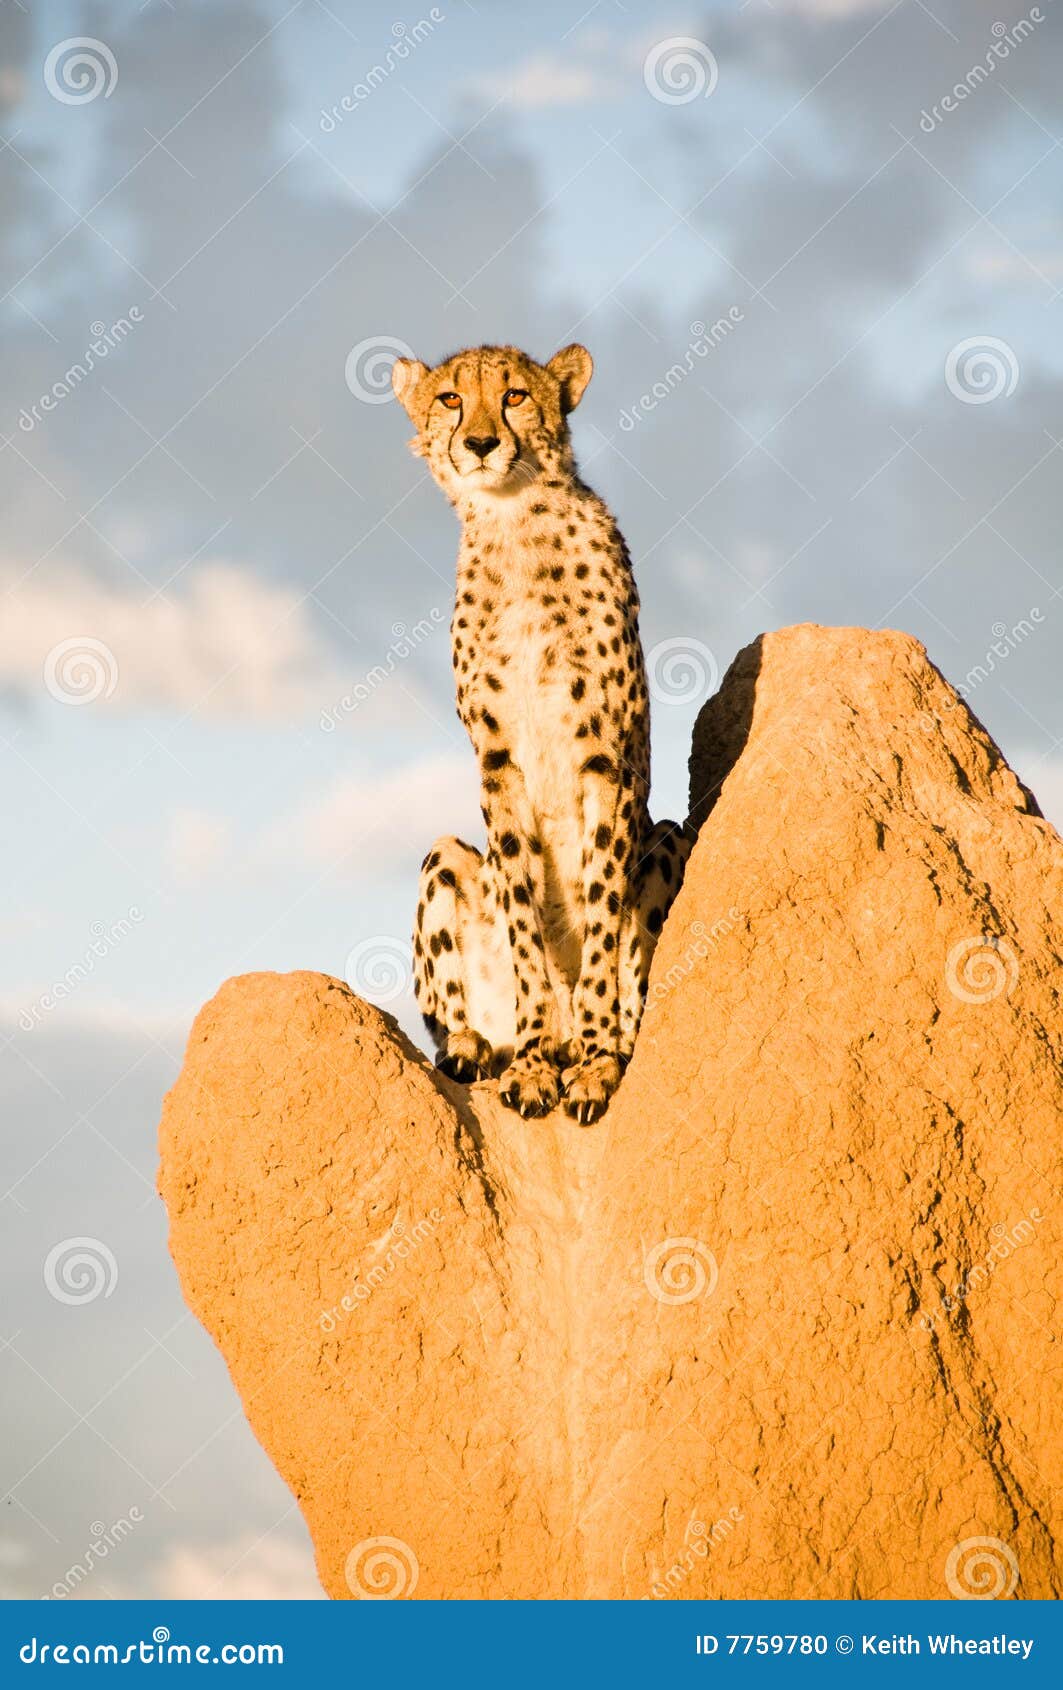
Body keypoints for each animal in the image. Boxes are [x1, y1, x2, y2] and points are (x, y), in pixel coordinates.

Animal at [390, 343, 689, 1122]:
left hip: (667, 836)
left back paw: (599, 1041)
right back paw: (480, 1047)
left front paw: (594, 1061)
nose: (479, 443)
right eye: (450, 399)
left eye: (516, 396)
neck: (514, 521)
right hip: (445, 859)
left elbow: (601, 913)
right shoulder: (498, 765)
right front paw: (531, 1062)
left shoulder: (604, 760)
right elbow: (525, 923)